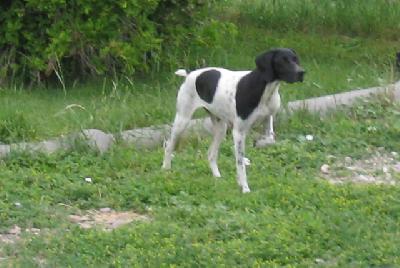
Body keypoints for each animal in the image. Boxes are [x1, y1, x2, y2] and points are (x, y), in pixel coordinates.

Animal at [161, 47, 304, 192]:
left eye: (295, 59)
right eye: (282, 61)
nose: (301, 72)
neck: (264, 89)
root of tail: (190, 74)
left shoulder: (267, 121)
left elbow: (269, 140)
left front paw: (257, 145)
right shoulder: (239, 132)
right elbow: (239, 163)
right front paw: (245, 187)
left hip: (221, 129)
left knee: (211, 154)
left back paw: (217, 177)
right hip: (182, 120)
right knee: (169, 146)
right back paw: (166, 169)